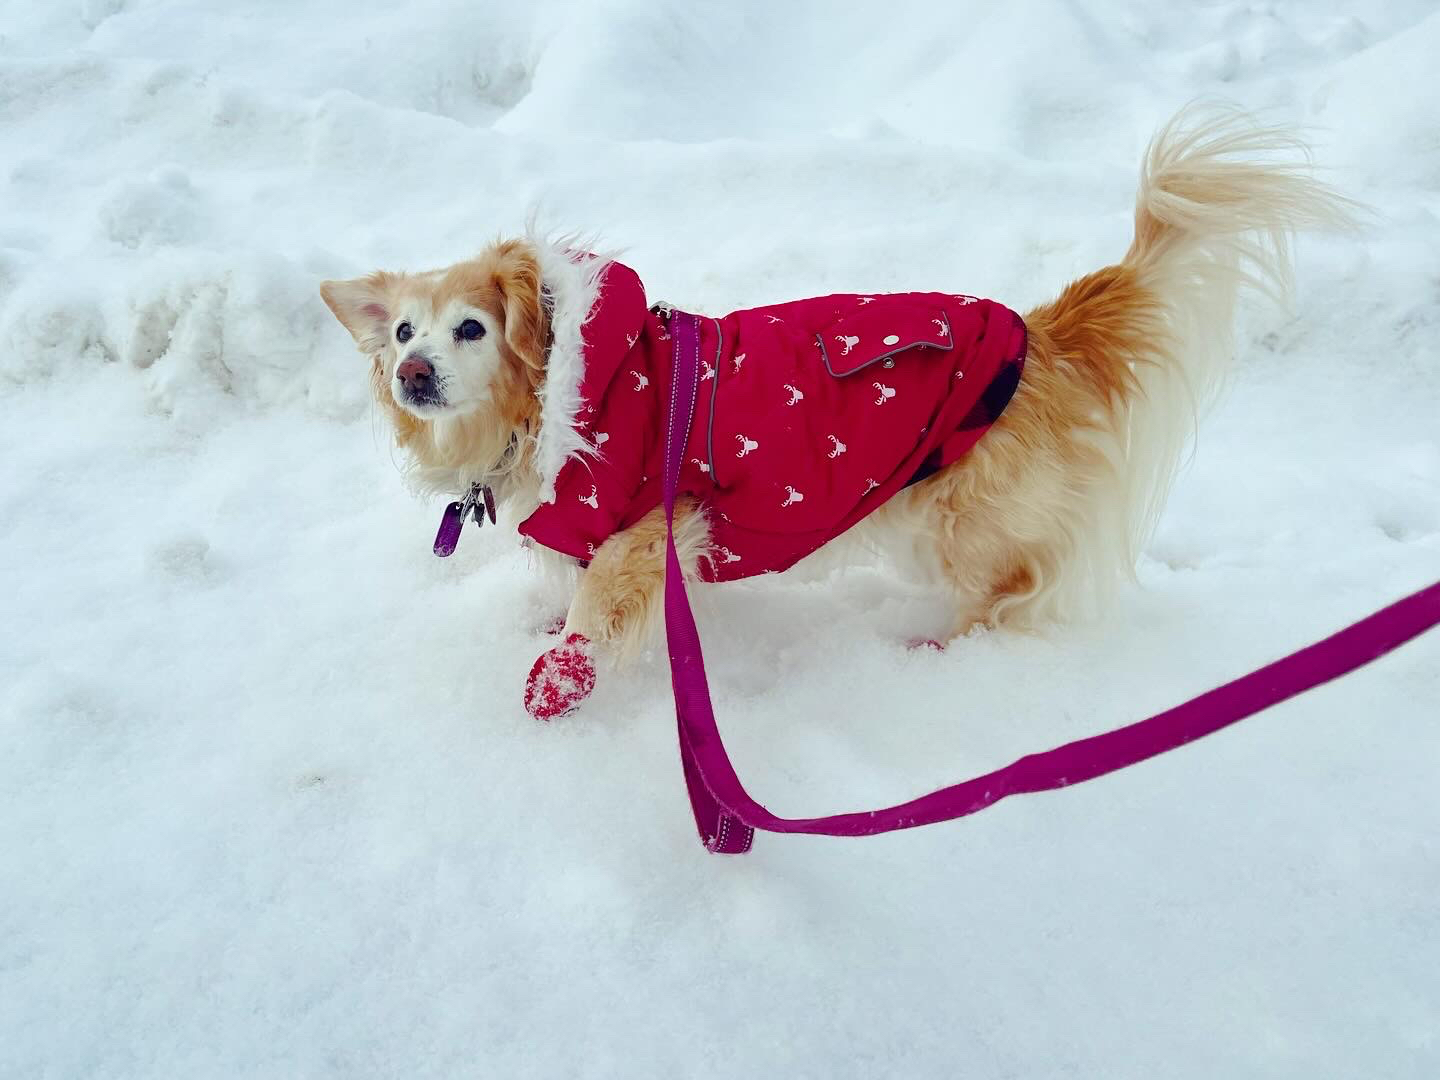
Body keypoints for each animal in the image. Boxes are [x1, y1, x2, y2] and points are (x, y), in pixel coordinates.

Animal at [319, 107, 1350, 717]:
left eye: (470, 329)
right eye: (402, 330)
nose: (411, 371)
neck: (571, 394)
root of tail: (1043, 330)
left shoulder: (649, 519)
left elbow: (600, 597)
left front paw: (562, 674)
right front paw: (542, 623)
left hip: (958, 521)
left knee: (1023, 587)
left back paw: (945, 652)